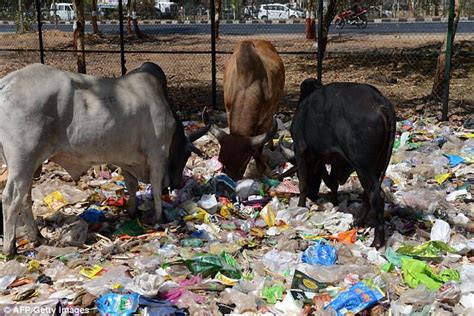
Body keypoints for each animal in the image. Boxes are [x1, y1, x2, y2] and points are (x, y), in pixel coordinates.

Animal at [0, 62, 208, 256]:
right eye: (186, 154)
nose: (177, 183)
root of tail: (7, 82)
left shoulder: (127, 158)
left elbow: (131, 184)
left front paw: (132, 211)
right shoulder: (157, 153)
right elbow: (156, 187)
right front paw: (160, 217)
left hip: (28, 164)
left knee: (25, 198)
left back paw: (37, 237)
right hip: (23, 160)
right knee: (11, 199)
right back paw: (10, 248)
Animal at [211, 40, 286, 180]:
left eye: (244, 161)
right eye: (222, 161)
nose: (233, 180)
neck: (247, 85)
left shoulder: (267, 120)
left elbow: (259, 148)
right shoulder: (228, 112)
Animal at [288, 78, 396, 247]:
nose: (313, 195)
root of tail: (382, 103)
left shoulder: (300, 149)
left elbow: (304, 183)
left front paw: (300, 207)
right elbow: (332, 183)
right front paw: (334, 202)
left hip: (363, 166)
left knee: (376, 195)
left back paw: (377, 241)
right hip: (377, 165)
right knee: (369, 194)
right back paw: (358, 221)